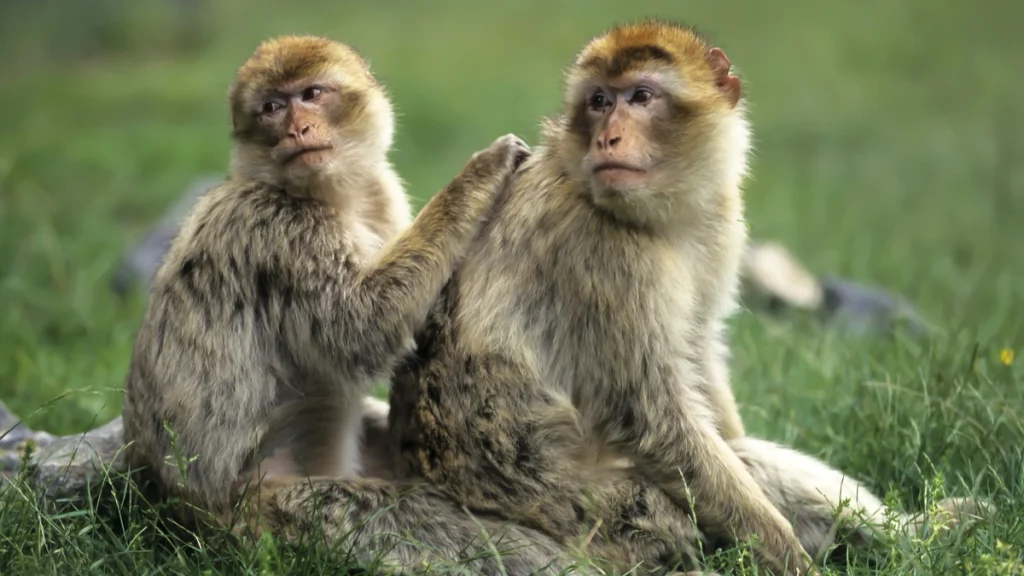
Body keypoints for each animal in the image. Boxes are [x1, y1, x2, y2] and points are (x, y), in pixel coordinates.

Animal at [118, 35, 534, 532]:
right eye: (273, 107)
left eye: (311, 94)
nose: (296, 129)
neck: (332, 199)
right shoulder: (279, 228)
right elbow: (359, 330)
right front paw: (481, 173)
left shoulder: (382, 192)